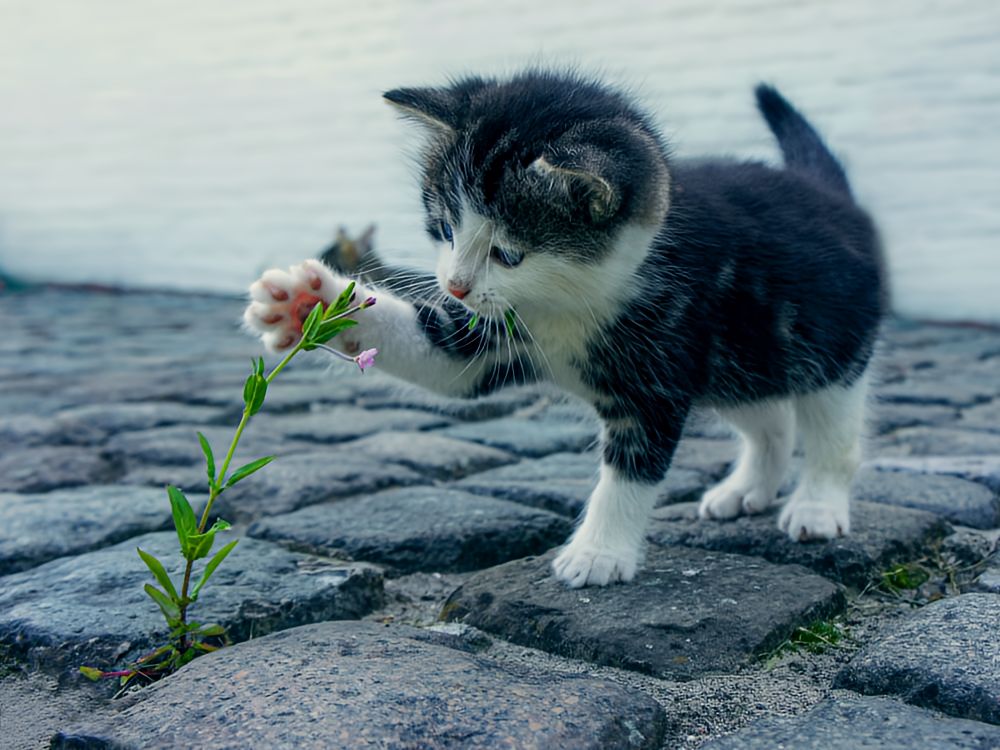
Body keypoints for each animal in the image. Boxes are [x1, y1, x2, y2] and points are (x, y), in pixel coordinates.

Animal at [244, 69, 884, 588]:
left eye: (508, 253)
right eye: (445, 228)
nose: (454, 285)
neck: (567, 301)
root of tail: (830, 194)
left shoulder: (659, 367)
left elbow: (631, 469)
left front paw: (599, 553)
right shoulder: (491, 336)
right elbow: (442, 359)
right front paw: (308, 302)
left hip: (828, 344)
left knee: (831, 429)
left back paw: (817, 505)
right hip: (740, 358)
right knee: (769, 416)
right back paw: (747, 488)